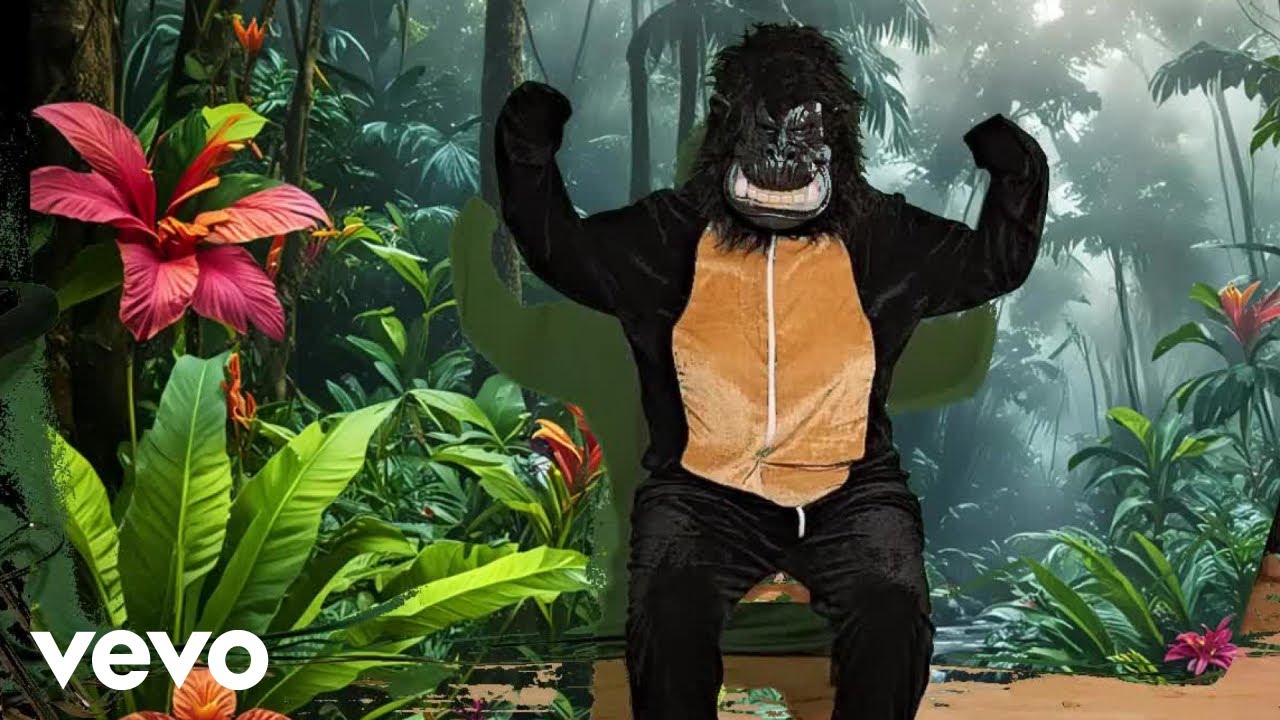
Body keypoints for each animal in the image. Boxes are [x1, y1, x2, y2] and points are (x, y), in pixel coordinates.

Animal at [492, 23, 1049, 720]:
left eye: (807, 128)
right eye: (762, 125)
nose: (782, 152)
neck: (776, 239)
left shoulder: (914, 243)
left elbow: (991, 260)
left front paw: (995, 140)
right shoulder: (629, 242)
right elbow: (558, 242)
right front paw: (535, 112)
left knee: (888, 609)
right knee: (674, 611)